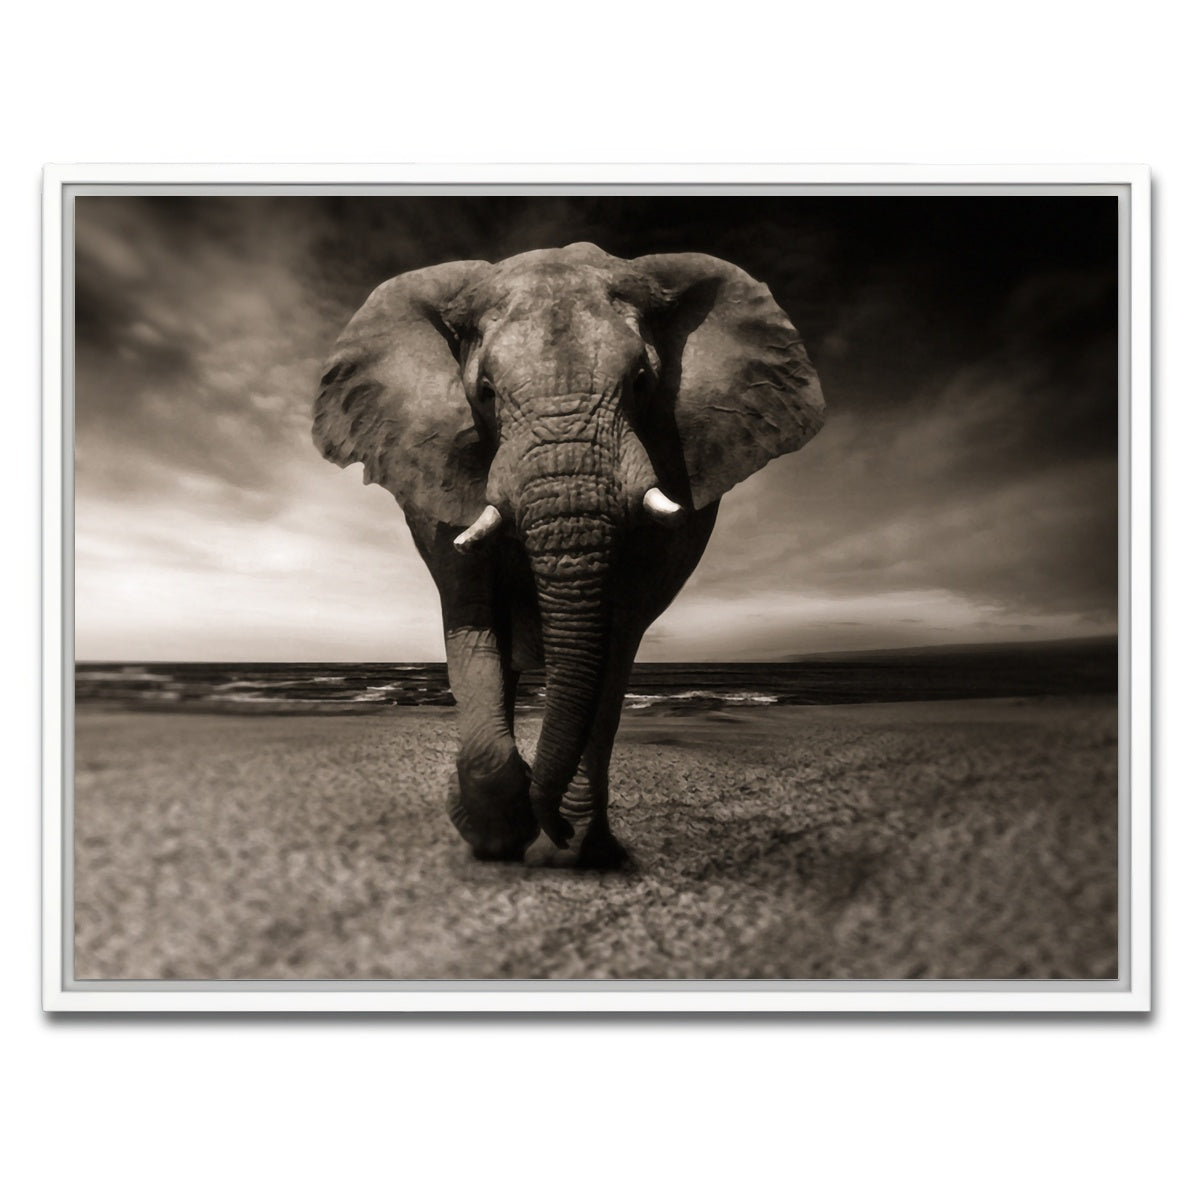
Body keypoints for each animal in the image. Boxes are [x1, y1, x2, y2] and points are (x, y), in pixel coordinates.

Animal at [312, 242, 825, 868]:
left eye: (641, 382)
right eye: (484, 392)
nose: (550, 825)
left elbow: (616, 634)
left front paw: (569, 842)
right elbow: (473, 616)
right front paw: (497, 835)